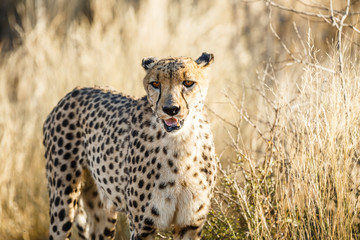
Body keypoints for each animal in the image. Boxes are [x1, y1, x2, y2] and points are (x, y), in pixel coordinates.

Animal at [42, 53, 217, 240]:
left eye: (188, 82)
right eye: (156, 84)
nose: (171, 109)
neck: (180, 145)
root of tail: (75, 90)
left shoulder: (190, 225)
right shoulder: (142, 227)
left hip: (102, 211)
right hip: (62, 203)